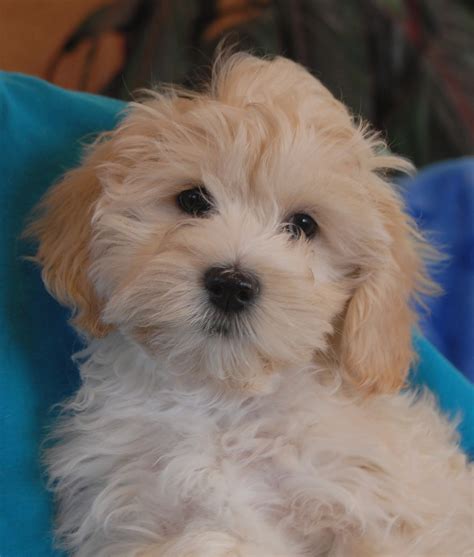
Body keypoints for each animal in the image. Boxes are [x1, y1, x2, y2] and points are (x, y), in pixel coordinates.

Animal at [26, 53, 474, 556]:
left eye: (304, 225)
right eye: (192, 199)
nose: (231, 284)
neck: (223, 400)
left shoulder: (381, 506)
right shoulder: (130, 512)